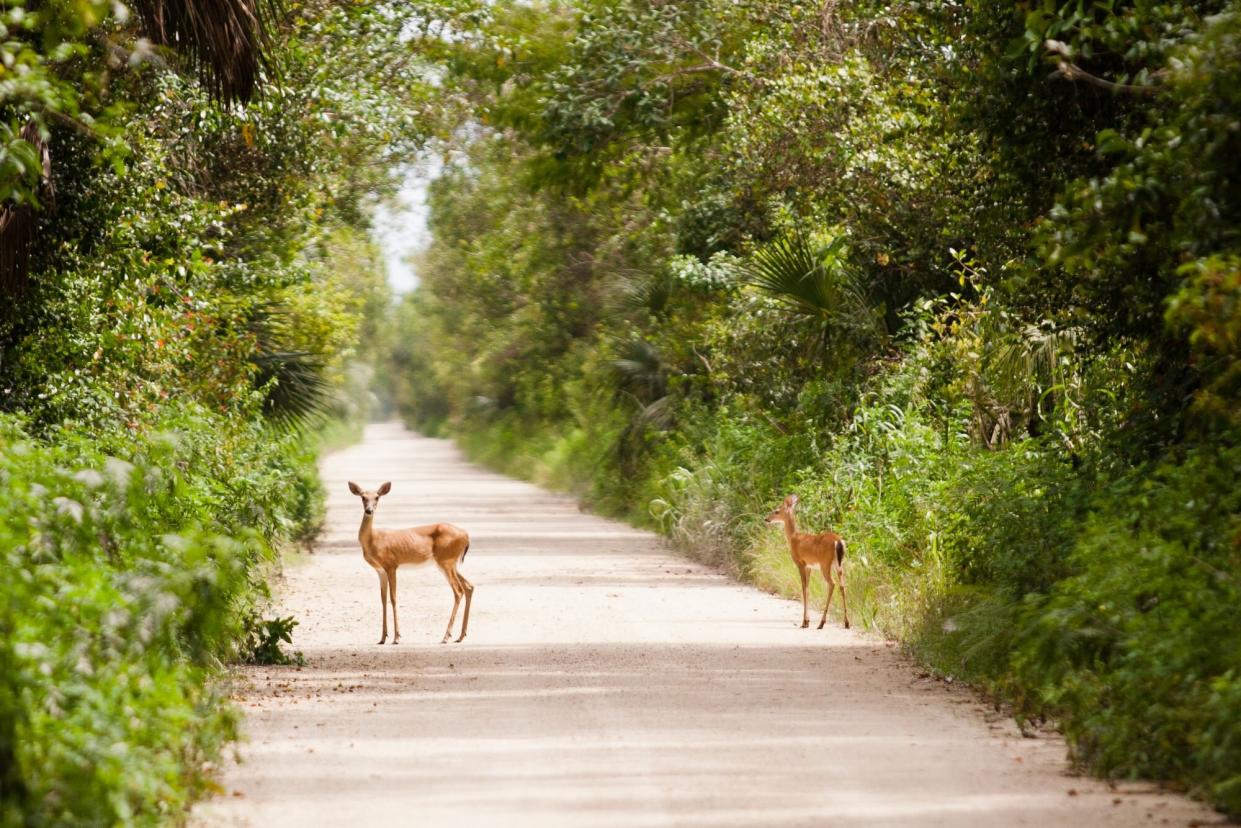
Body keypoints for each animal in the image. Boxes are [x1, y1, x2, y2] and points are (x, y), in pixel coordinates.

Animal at [349, 479, 474, 645]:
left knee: (458, 591)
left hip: (446, 561)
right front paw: (382, 637)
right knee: (469, 586)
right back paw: (460, 636)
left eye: (377, 497)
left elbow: (393, 598)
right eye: (363, 497)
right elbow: (383, 599)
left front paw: (396, 637)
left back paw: (446, 636)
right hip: (450, 563)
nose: (369, 510)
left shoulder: (391, 565)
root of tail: (467, 535)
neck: (373, 540)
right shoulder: (380, 570)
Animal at [764, 496, 853, 630]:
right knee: (843, 586)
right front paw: (807, 620)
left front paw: (805, 622)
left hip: (825, 564)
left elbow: (804, 588)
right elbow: (808, 588)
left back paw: (821, 623)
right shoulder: (809, 566)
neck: (793, 537)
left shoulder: (800, 562)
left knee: (832, 584)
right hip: (839, 564)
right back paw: (846, 623)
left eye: (776, 511)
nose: (767, 519)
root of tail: (838, 541)